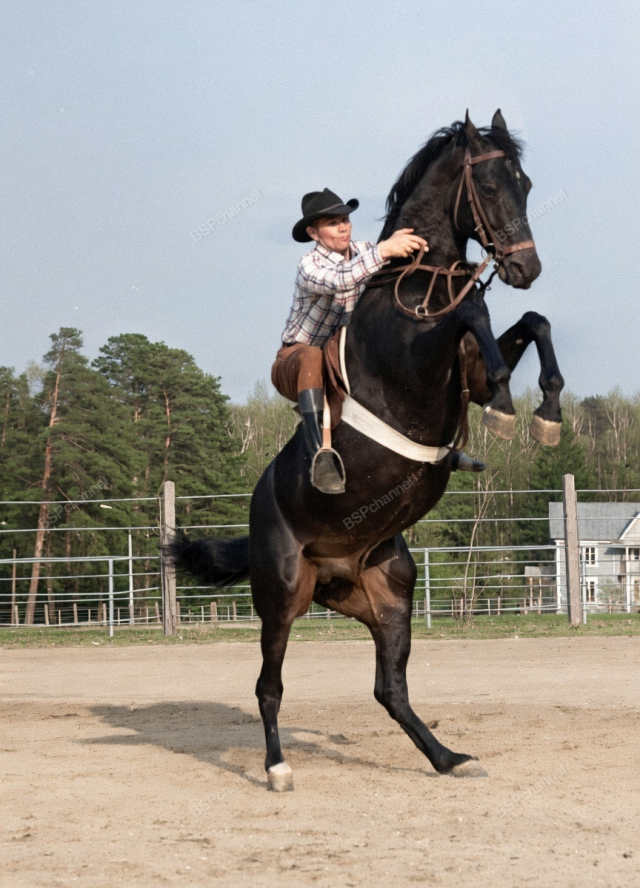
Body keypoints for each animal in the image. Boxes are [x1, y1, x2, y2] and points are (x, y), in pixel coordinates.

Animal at [168, 110, 564, 791]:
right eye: (489, 186)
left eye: (527, 184)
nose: (526, 268)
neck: (418, 281)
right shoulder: (423, 354)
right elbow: (477, 318)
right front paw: (508, 408)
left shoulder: (467, 364)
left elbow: (531, 323)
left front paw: (546, 414)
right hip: (282, 596)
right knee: (269, 687)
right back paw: (277, 767)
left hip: (388, 593)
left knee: (390, 689)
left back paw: (448, 758)